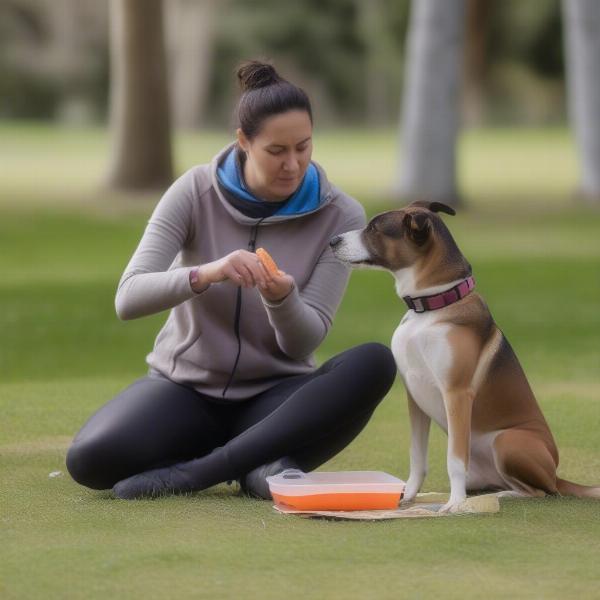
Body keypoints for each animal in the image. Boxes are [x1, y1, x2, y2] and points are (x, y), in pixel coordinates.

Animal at [330, 200, 600, 510]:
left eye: (375, 228)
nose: (332, 241)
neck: (432, 306)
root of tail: (557, 474)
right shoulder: (413, 396)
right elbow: (417, 456)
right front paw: (408, 496)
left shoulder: (456, 393)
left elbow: (455, 459)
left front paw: (455, 504)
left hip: (508, 440)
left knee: (540, 491)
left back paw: (501, 496)